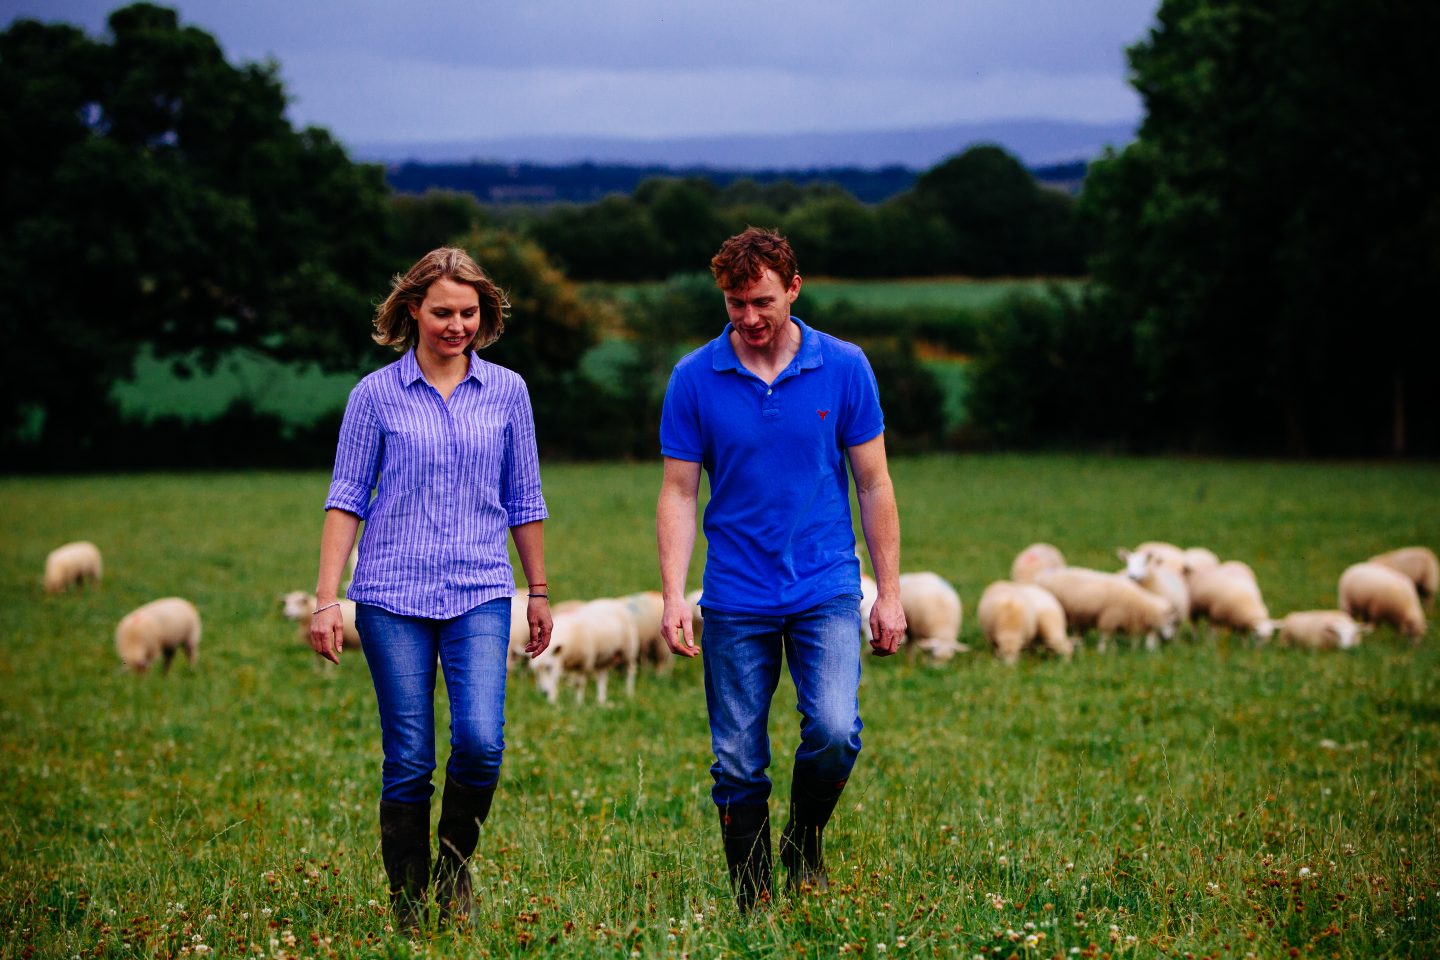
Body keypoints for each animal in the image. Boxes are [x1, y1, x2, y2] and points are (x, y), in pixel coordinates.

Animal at [1031, 567, 1175, 650]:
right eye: (1169, 622)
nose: (1169, 638)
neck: (1140, 605)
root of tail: (1039, 577)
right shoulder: (1109, 618)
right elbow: (1105, 636)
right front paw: (1102, 650)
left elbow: (1111, 637)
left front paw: (1113, 649)